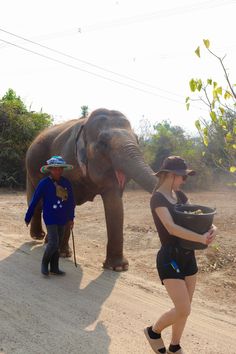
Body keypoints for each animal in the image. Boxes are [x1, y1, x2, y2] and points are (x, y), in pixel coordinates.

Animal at [25, 108, 158, 272]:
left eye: (137, 139)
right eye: (103, 143)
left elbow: (115, 206)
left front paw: (119, 268)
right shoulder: (68, 162)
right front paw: (64, 254)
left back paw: (47, 241)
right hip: (31, 167)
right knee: (36, 201)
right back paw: (38, 237)